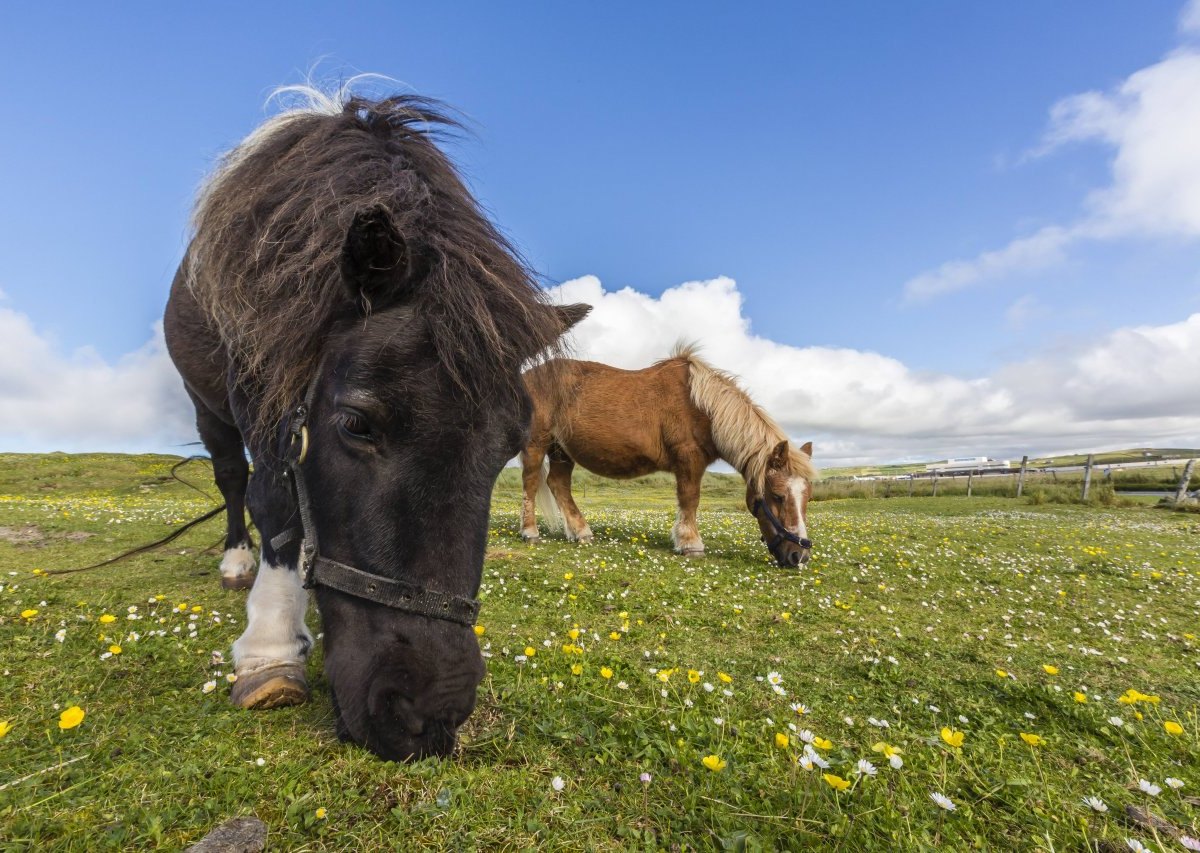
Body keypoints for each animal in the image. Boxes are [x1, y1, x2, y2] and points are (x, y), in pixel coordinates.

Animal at [163, 80, 585, 763]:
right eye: (356, 424)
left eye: (509, 445)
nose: (427, 714)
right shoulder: (257, 380)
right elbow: (273, 498)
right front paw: (271, 648)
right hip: (206, 405)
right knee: (231, 479)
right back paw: (236, 562)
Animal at [516, 343, 816, 571]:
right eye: (777, 496)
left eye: (807, 497)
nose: (798, 556)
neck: (701, 406)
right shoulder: (688, 460)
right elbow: (690, 500)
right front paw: (690, 544)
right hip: (537, 443)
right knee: (531, 482)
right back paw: (530, 533)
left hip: (561, 450)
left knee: (559, 485)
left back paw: (581, 533)